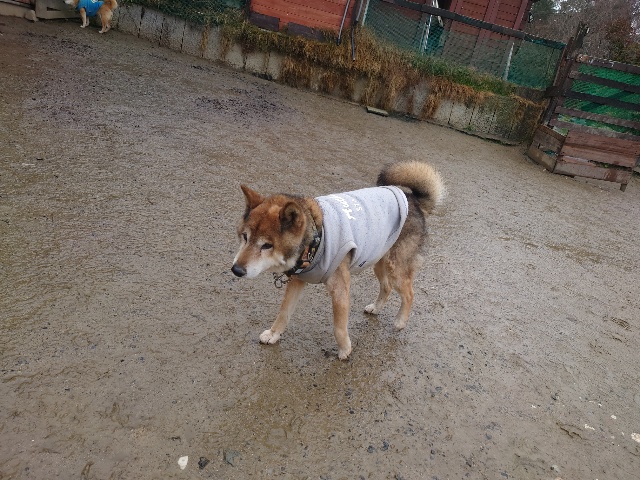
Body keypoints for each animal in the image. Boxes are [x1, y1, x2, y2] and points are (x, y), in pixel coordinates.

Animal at [231, 161, 445, 360]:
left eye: (267, 245)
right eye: (245, 237)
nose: (236, 270)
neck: (316, 239)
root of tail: (413, 199)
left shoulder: (340, 289)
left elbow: (339, 326)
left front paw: (344, 350)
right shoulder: (297, 281)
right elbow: (284, 312)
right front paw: (274, 334)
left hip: (395, 269)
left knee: (408, 294)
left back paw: (400, 321)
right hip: (378, 260)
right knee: (386, 287)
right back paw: (376, 308)